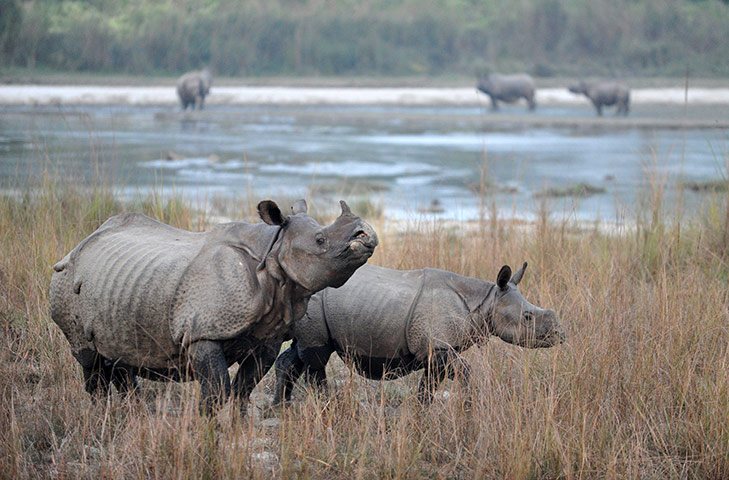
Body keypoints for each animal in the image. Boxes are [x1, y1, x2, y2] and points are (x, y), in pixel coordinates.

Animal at [49, 199, 378, 413]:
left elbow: (244, 387)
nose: (366, 235)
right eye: (321, 240)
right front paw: (209, 433)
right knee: (89, 358)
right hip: (65, 280)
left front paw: (236, 427)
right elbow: (217, 391)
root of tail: (76, 245)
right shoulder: (201, 332)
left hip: (124, 285)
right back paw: (100, 416)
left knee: (119, 354)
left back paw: (131, 414)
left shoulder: (267, 338)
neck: (272, 253)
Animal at [273, 262, 565, 405]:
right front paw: (468, 406)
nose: (560, 335)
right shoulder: (438, 346)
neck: (488, 300)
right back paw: (328, 407)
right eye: (528, 317)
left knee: (299, 352)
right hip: (314, 301)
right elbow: (465, 372)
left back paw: (281, 407)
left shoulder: (435, 350)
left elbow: (429, 386)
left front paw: (422, 413)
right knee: (317, 357)